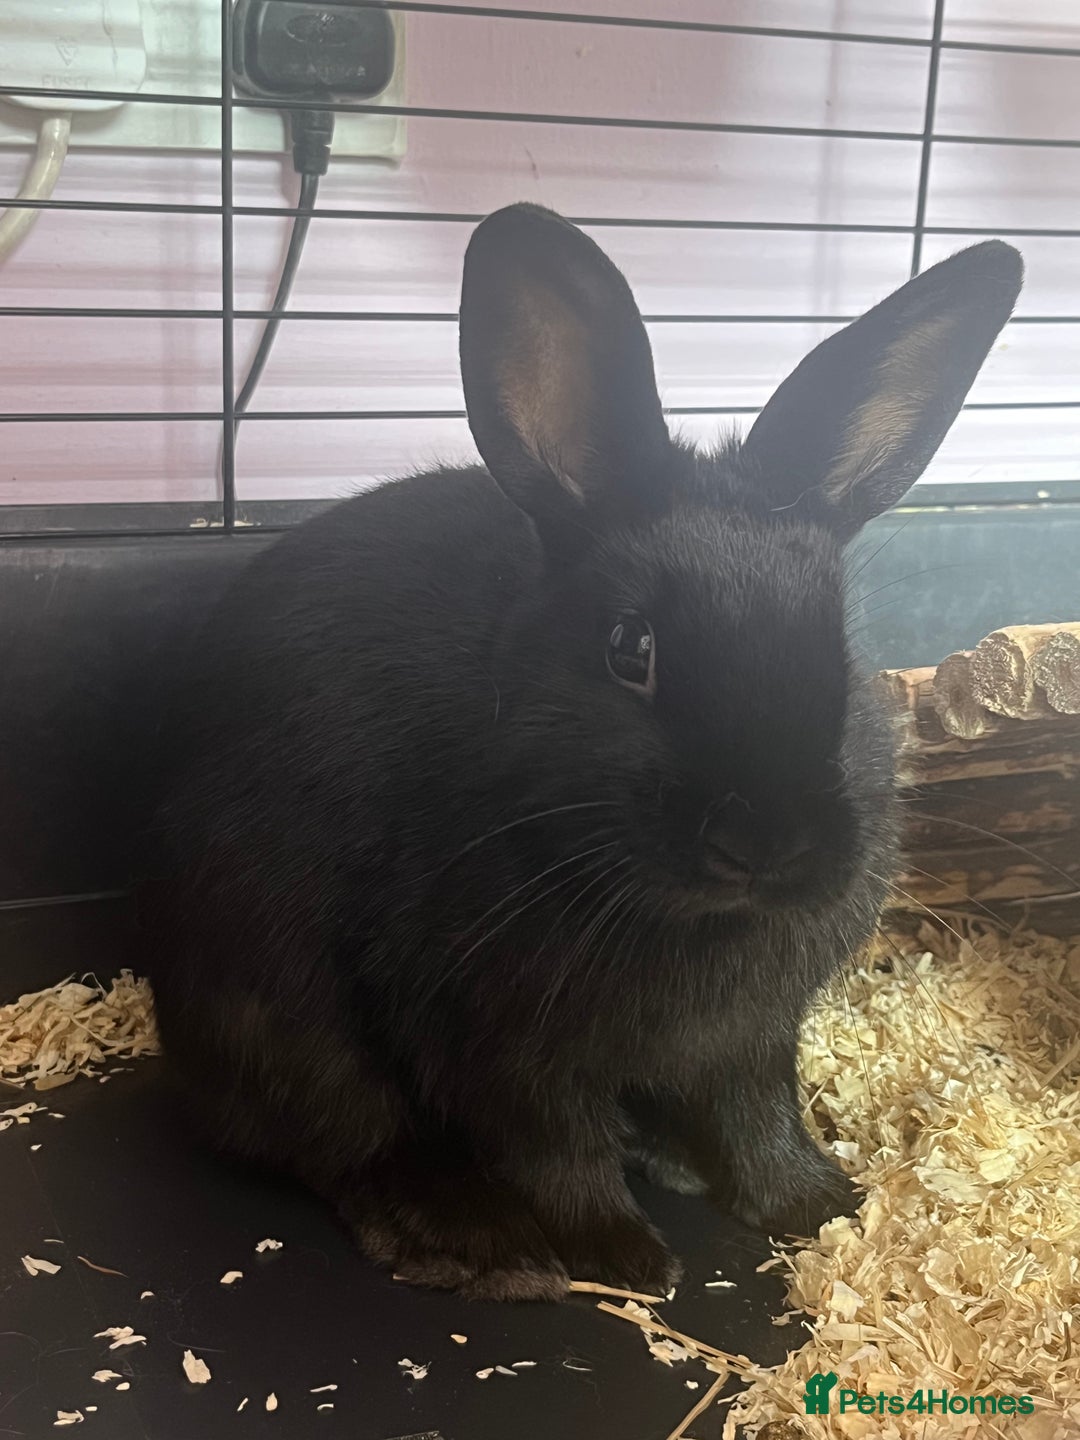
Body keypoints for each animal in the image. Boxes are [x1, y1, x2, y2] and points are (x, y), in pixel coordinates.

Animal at [140, 205, 1022, 1302]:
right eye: (628, 649)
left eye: (839, 650)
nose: (766, 844)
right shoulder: (494, 1041)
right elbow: (554, 1148)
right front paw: (624, 1257)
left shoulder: (750, 1039)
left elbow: (758, 1113)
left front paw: (816, 1203)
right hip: (279, 1008)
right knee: (341, 1140)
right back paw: (481, 1244)